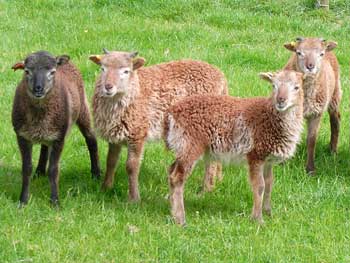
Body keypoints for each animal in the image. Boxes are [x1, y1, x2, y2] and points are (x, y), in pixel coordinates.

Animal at [89, 49, 228, 202]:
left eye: (126, 71)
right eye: (102, 68)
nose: (108, 87)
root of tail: (220, 76)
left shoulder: (137, 133)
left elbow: (131, 166)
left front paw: (134, 198)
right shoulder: (115, 136)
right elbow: (111, 161)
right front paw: (105, 189)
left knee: (211, 161)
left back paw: (205, 190)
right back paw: (217, 180)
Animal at [164, 70, 304, 227]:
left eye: (297, 87)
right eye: (273, 86)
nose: (281, 100)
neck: (269, 117)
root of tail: (171, 113)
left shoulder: (268, 160)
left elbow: (269, 183)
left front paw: (269, 213)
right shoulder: (255, 155)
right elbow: (260, 186)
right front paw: (258, 219)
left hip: (181, 146)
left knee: (171, 171)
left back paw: (172, 209)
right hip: (190, 144)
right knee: (177, 177)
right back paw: (181, 219)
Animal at [284, 36, 340, 174]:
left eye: (321, 54)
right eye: (299, 52)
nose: (310, 66)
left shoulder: (316, 113)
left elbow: (311, 140)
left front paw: (310, 169)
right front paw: (283, 163)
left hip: (335, 95)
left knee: (335, 120)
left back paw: (333, 150)